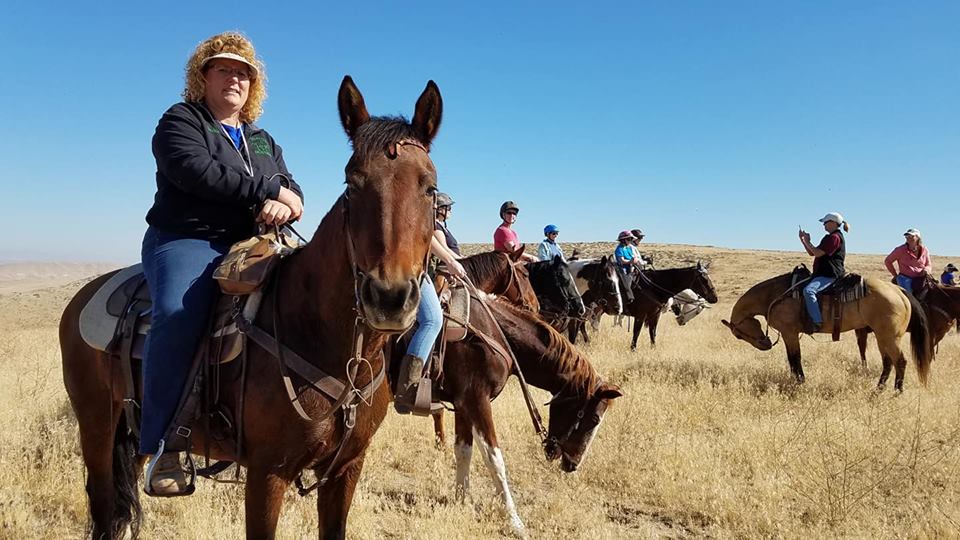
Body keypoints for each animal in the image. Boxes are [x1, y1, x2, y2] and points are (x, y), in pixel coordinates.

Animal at [62, 77, 444, 540]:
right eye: (352, 184)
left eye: (429, 187)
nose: (388, 297)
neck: (322, 338)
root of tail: (85, 294)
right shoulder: (267, 473)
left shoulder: (345, 470)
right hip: (96, 426)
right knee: (103, 507)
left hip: (132, 432)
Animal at [724, 272, 932, 390]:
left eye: (739, 334)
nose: (765, 345)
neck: (775, 294)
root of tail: (899, 291)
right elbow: (792, 360)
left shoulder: (789, 333)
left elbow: (795, 359)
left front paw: (800, 383)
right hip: (882, 337)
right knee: (888, 362)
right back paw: (878, 389)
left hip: (890, 337)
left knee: (900, 361)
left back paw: (897, 392)